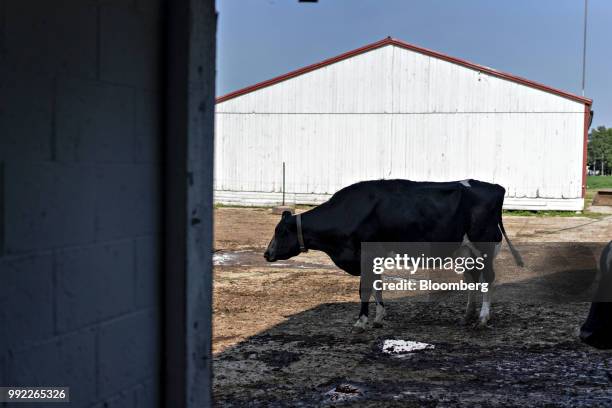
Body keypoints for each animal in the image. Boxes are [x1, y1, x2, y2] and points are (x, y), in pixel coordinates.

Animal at [262, 180, 520, 330]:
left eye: (280, 232)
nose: (267, 253)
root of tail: (494, 187)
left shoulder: (366, 254)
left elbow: (365, 288)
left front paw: (362, 321)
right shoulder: (372, 257)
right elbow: (377, 286)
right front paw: (378, 317)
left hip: (484, 247)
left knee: (487, 280)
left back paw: (483, 318)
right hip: (467, 252)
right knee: (472, 280)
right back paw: (467, 316)